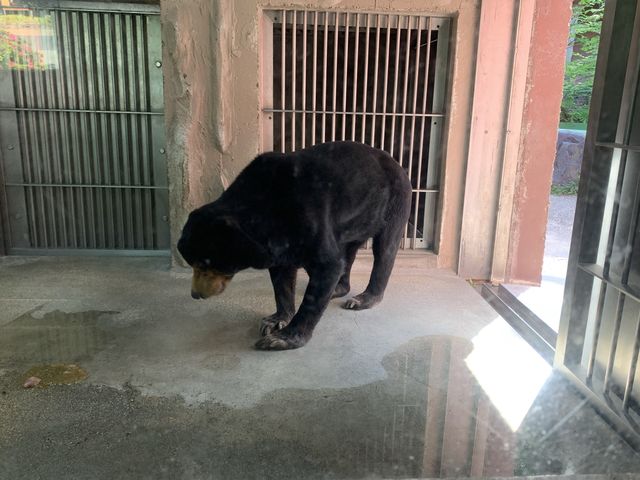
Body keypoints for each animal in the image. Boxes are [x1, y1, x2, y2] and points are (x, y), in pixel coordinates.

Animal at [178, 141, 412, 350]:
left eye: (206, 262)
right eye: (192, 263)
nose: (195, 294)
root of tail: (395, 162)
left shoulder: (308, 216)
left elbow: (327, 266)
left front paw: (283, 338)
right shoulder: (277, 243)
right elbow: (282, 278)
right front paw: (275, 320)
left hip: (395, 201)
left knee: (384, 250)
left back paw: (364, 298)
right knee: (347, 254)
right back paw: (338, 288)